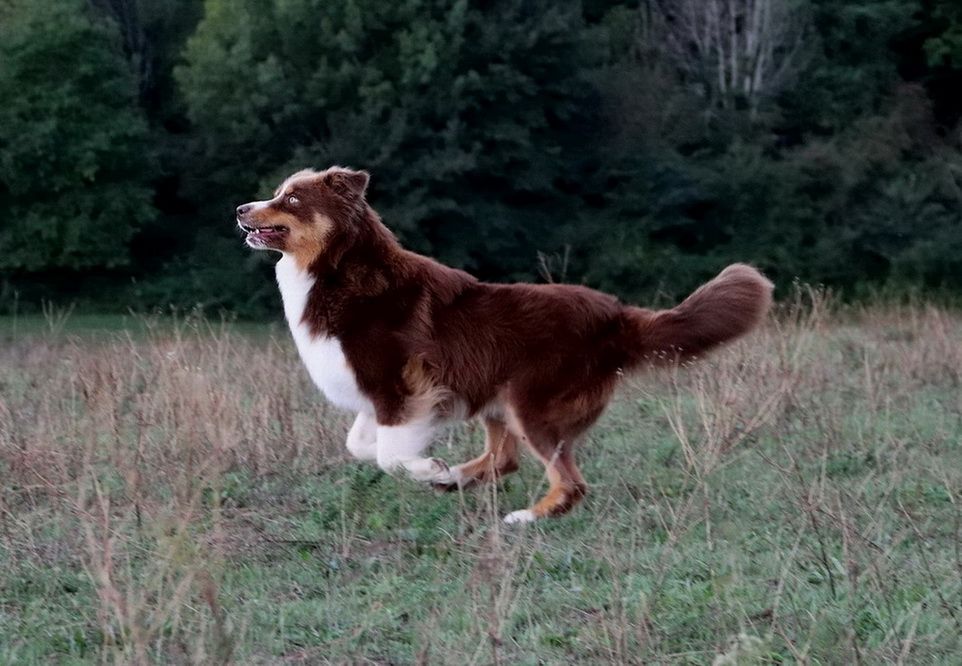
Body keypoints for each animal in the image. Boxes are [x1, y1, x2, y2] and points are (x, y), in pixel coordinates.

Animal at [234, 165, 772, 520]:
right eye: (278, 193)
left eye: (292, 200)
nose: (240, 207)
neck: (338, 268)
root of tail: (618, 315)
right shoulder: (388, 396)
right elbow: (362, 446)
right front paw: (431, 468)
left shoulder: (398, 386)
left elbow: (388, 454)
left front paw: (425, 467)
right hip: (496, 397)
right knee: (505, 458)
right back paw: (455, 479)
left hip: (529, 402)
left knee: (570, 481)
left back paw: (524, 517)